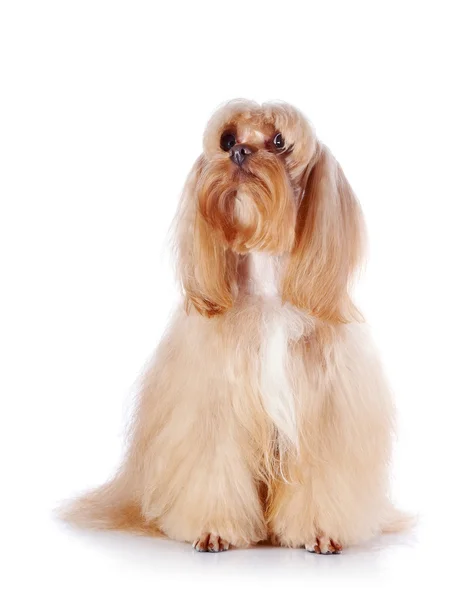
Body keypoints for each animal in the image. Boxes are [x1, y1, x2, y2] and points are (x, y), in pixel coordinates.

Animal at [63, 98, 412, 552]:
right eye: (227, 139)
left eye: (279, 141)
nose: (240, 153)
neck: (267, 290)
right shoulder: (214, 407)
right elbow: (214, 468)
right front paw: (214, 530)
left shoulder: (321, 411)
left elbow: (319, 477)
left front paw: (320, 531)